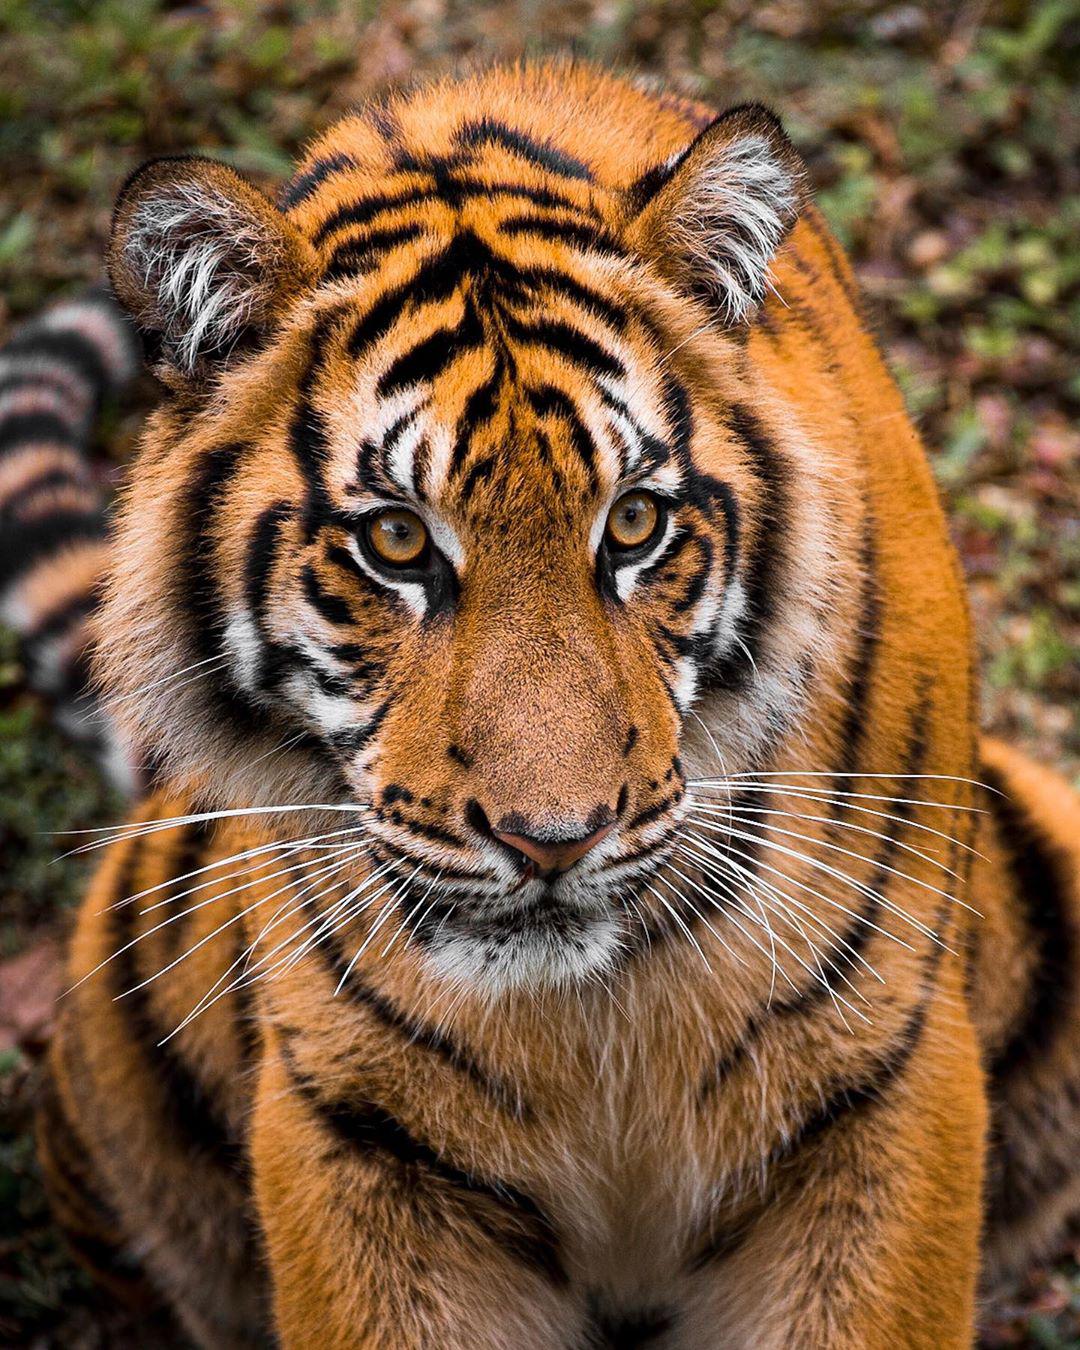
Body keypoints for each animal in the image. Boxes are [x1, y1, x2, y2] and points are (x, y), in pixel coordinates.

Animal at [8, 60, 1080, 1350]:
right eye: (396, 542)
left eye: (635, 523)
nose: (553, 841)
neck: (589, 1011)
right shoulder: (357, 1129)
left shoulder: (887, 1076)